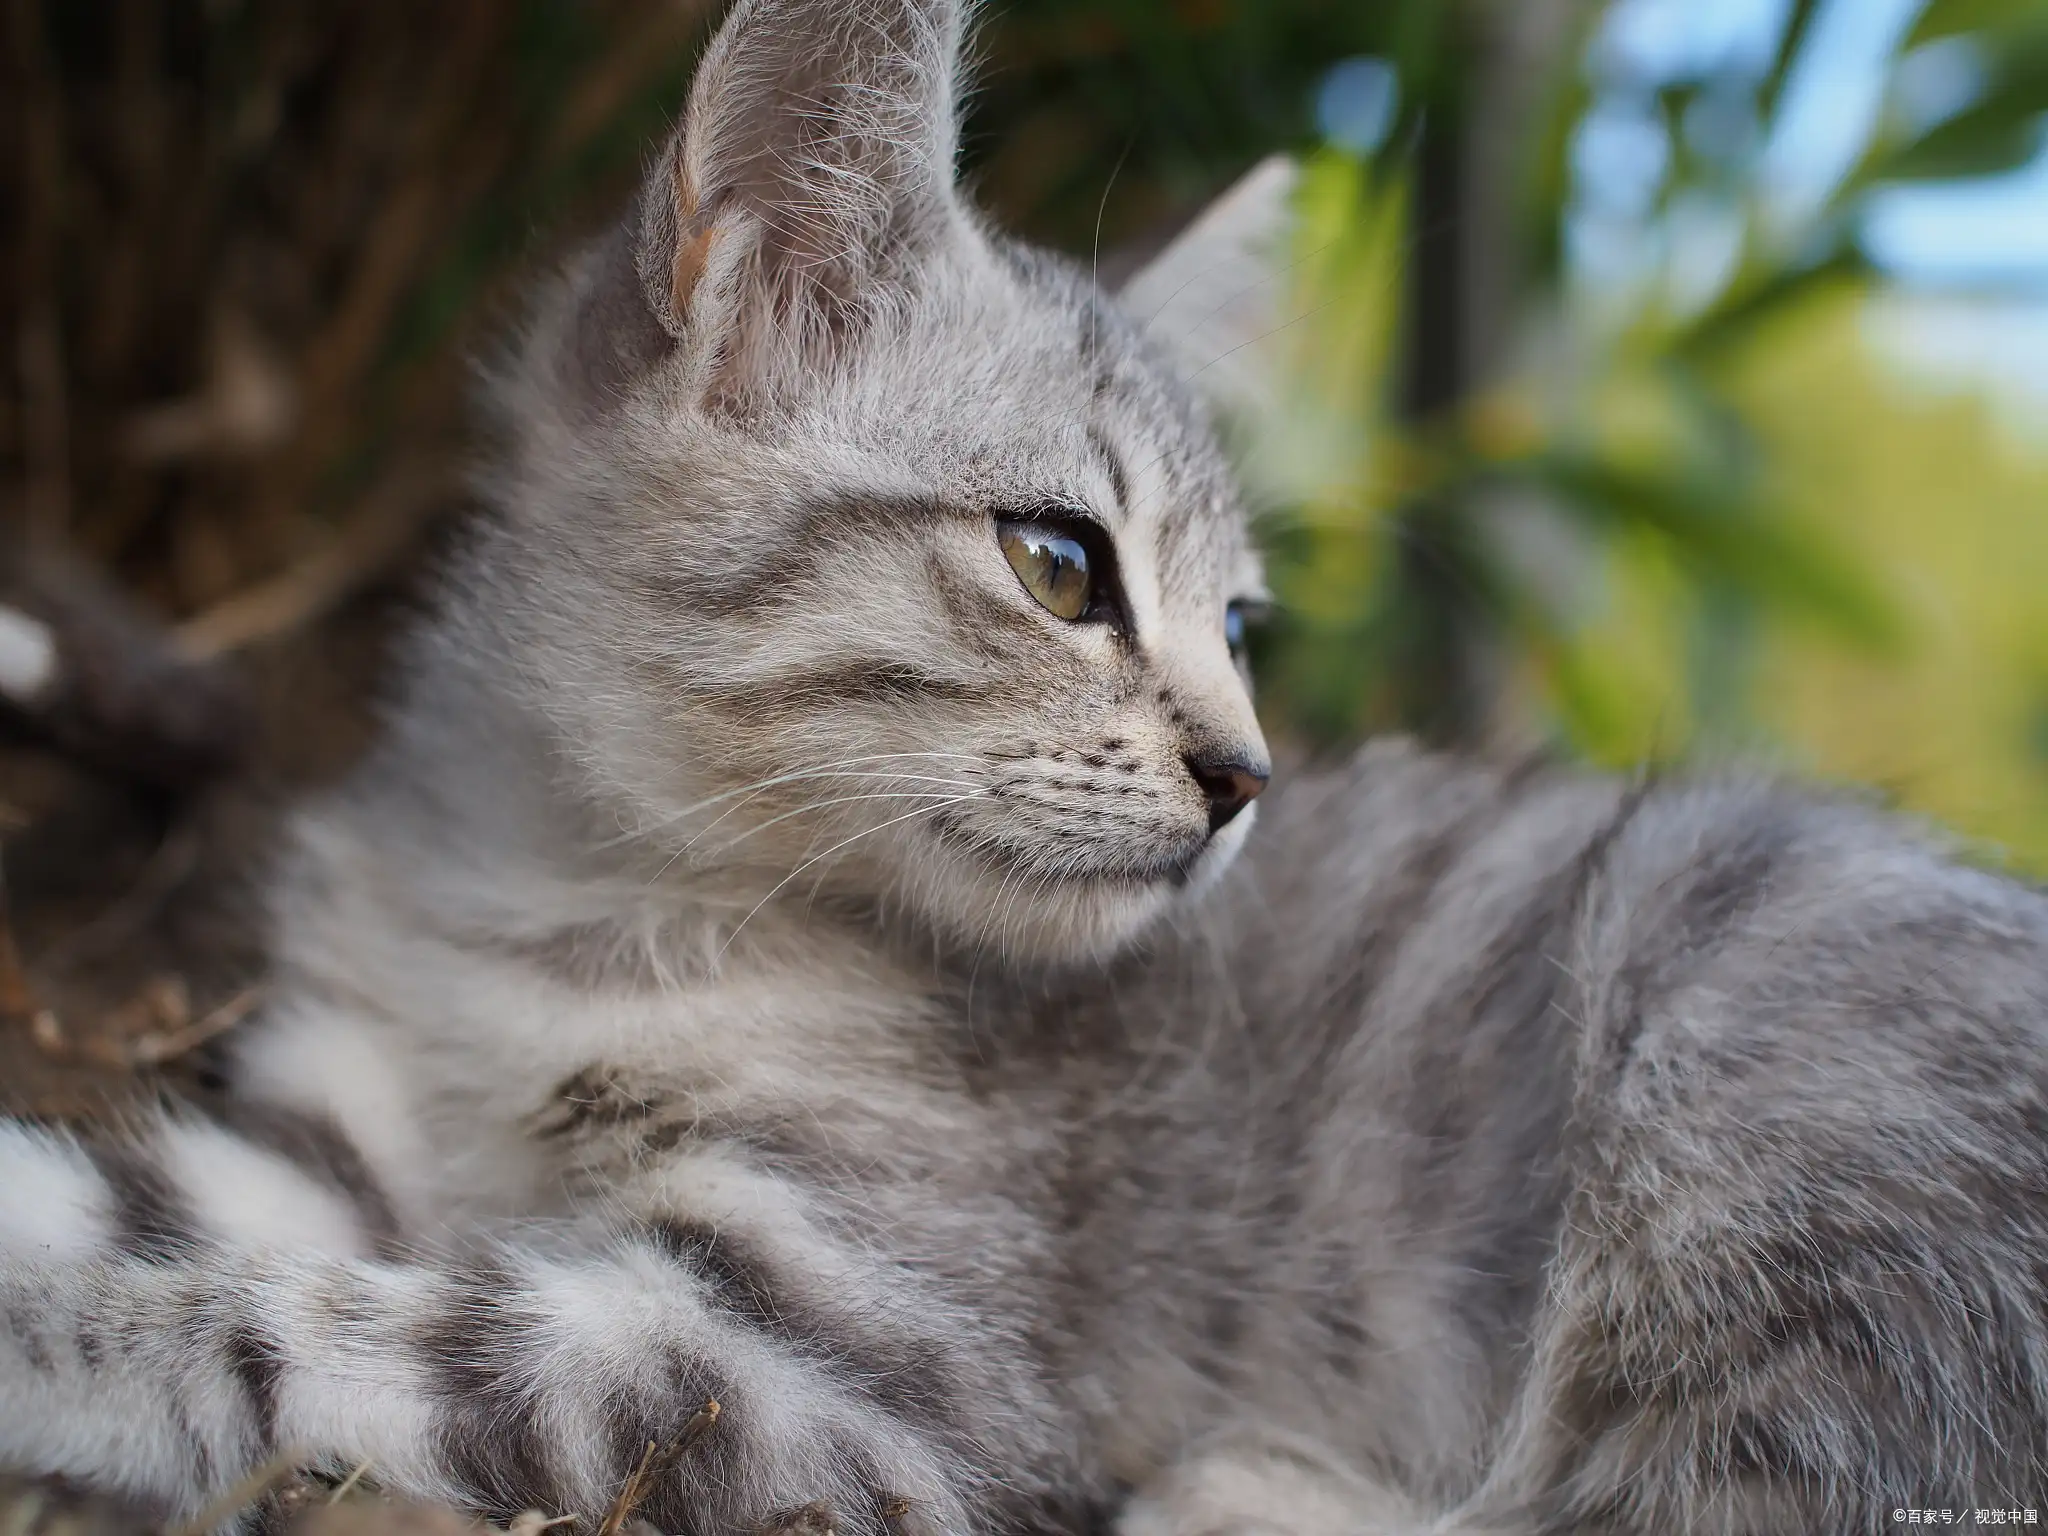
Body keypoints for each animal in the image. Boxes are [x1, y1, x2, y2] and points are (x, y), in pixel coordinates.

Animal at [4, 0, 2048, 1531]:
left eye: (1239, 627)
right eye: (1061, 564)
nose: (1245, 778)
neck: (555, 902)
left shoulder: (836, 1365)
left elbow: (321, 1332)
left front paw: (56, 1340)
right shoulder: (323, 1122)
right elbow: (159, 1209)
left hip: (1756, 1105)